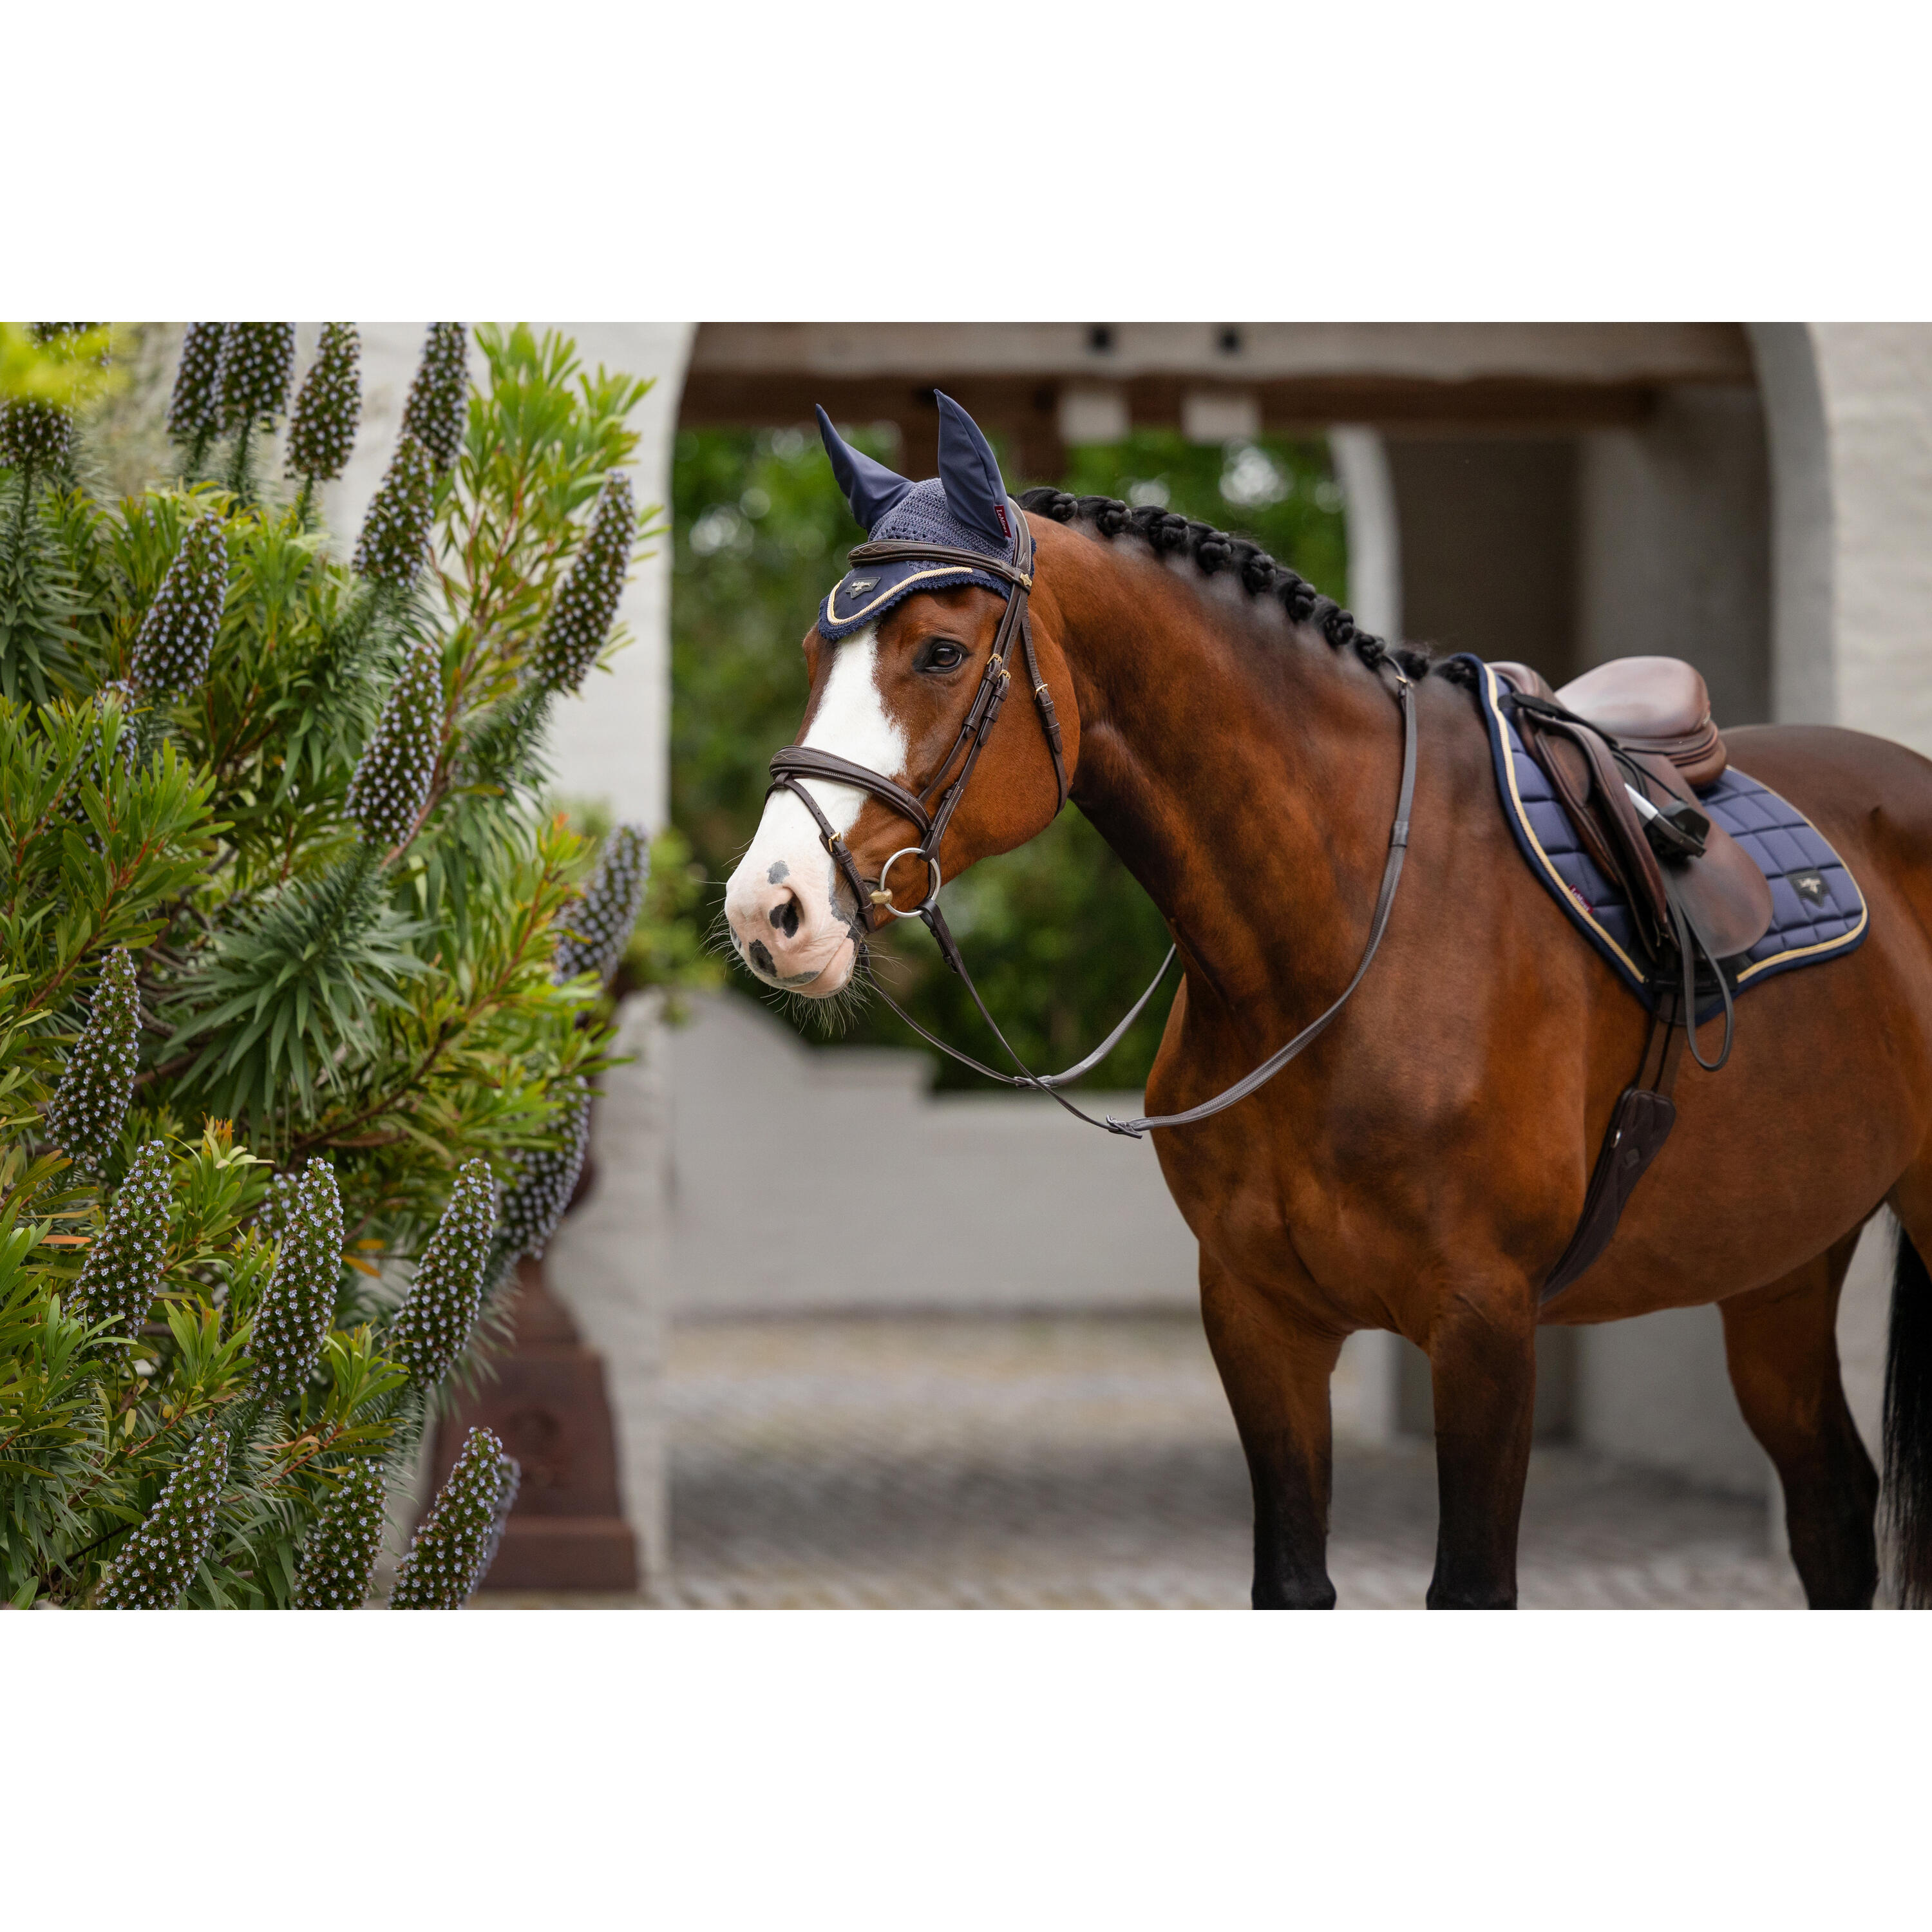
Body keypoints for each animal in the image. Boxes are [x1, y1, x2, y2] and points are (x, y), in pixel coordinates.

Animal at [721, 396, 1932, 1609]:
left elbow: (1471, 1585)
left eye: (941, 650)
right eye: (815, 654)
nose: (769, 908)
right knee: (1831, 1503)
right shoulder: (1261, 1317)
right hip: (1781, 1263)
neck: (1339, 941)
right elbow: (1293, 1577)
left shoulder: (1486, 1325)